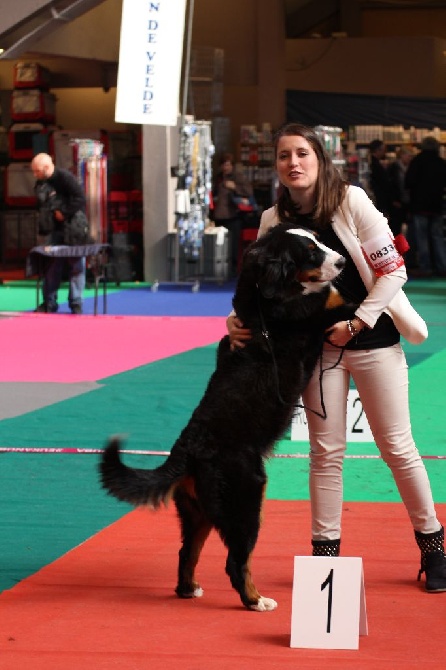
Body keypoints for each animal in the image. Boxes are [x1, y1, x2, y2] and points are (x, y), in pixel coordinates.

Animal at [100, 224, 356, 616]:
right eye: (310, 252)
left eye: (319, 240)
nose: (341, 260)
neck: (265, 301)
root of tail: (188, 447)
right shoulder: (318, 315)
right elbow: (346, 302)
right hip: (245, 498)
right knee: (236, 561)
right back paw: (256, 600)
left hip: (199, 512)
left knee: (186, 552)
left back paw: (189, 589)